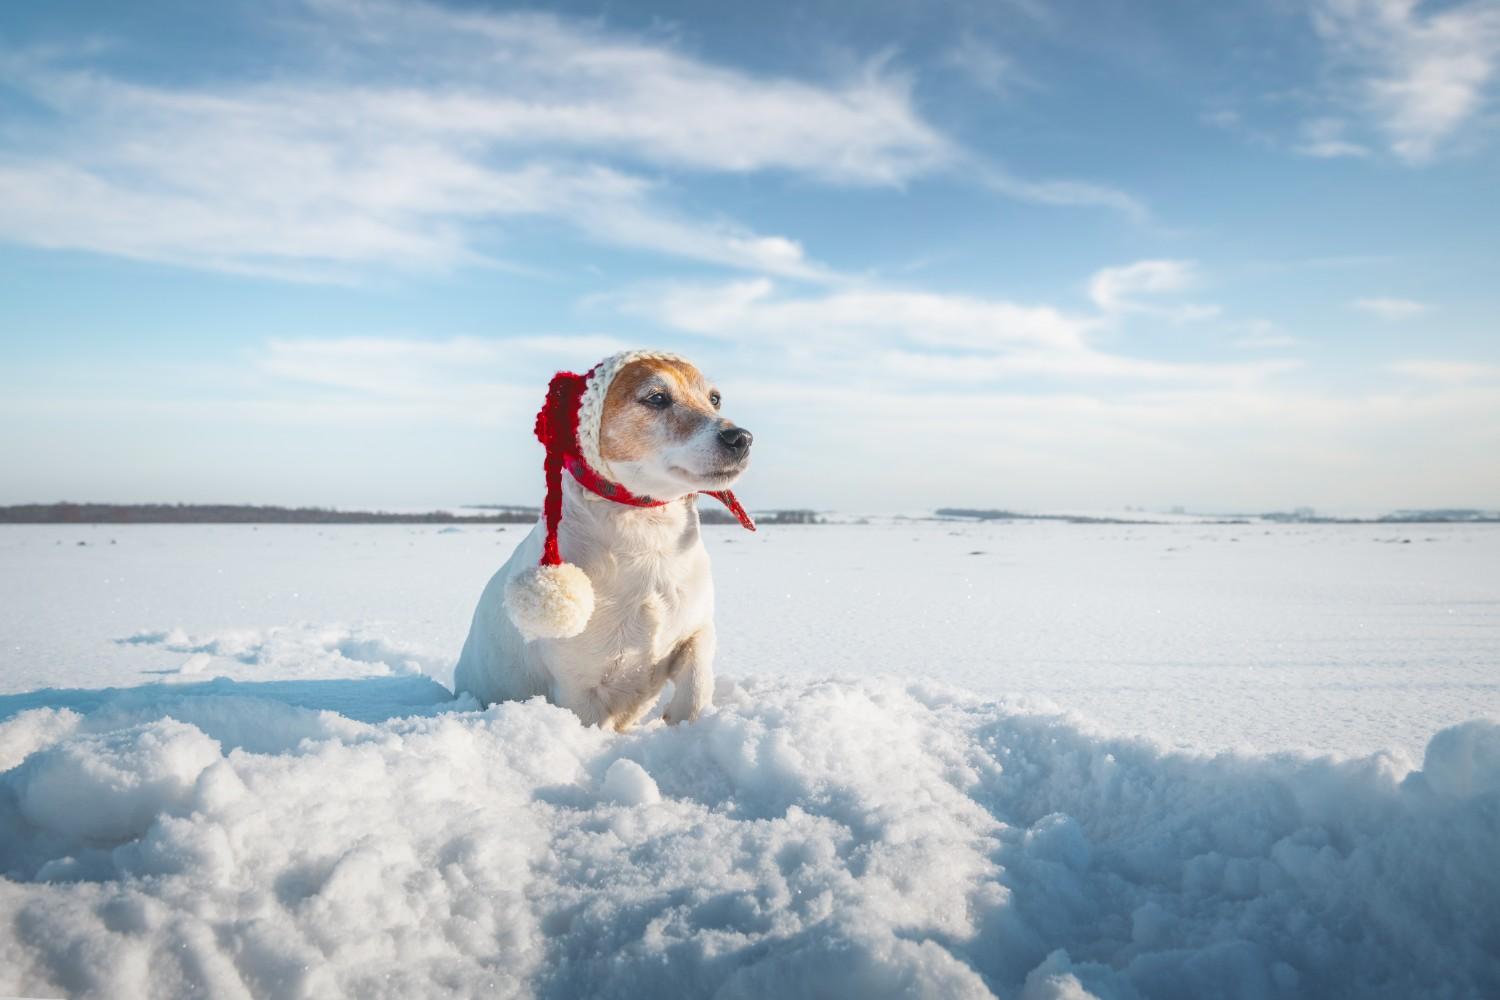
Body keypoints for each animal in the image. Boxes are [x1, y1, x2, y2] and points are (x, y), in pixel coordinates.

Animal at [450, 347, 756, 731]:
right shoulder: (579, 688)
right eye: (657, 398)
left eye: (715, 399)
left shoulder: (696, 628)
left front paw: (688, 723)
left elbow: (698, 681)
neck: (646, 534)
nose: (741, 438)